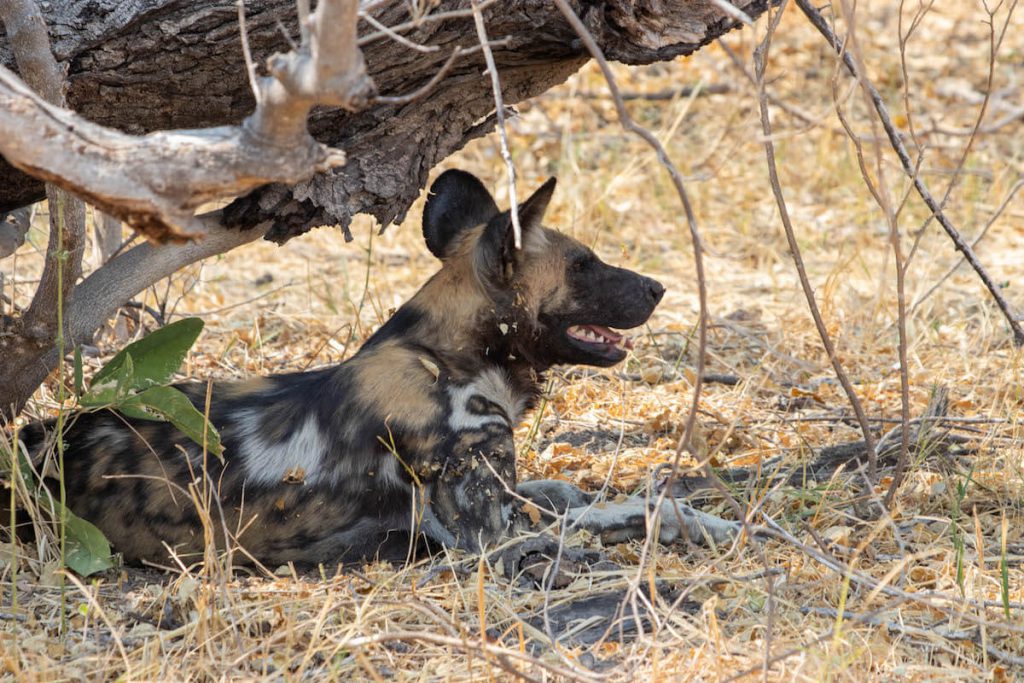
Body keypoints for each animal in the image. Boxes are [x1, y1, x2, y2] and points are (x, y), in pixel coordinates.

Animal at [16, 172, 737, 573]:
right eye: (584, 265)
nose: (658, 287)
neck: (452, 357)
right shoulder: (490, 535)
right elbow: (635, 508)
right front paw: (702, 524)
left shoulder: (508, 494)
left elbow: (564, 490)